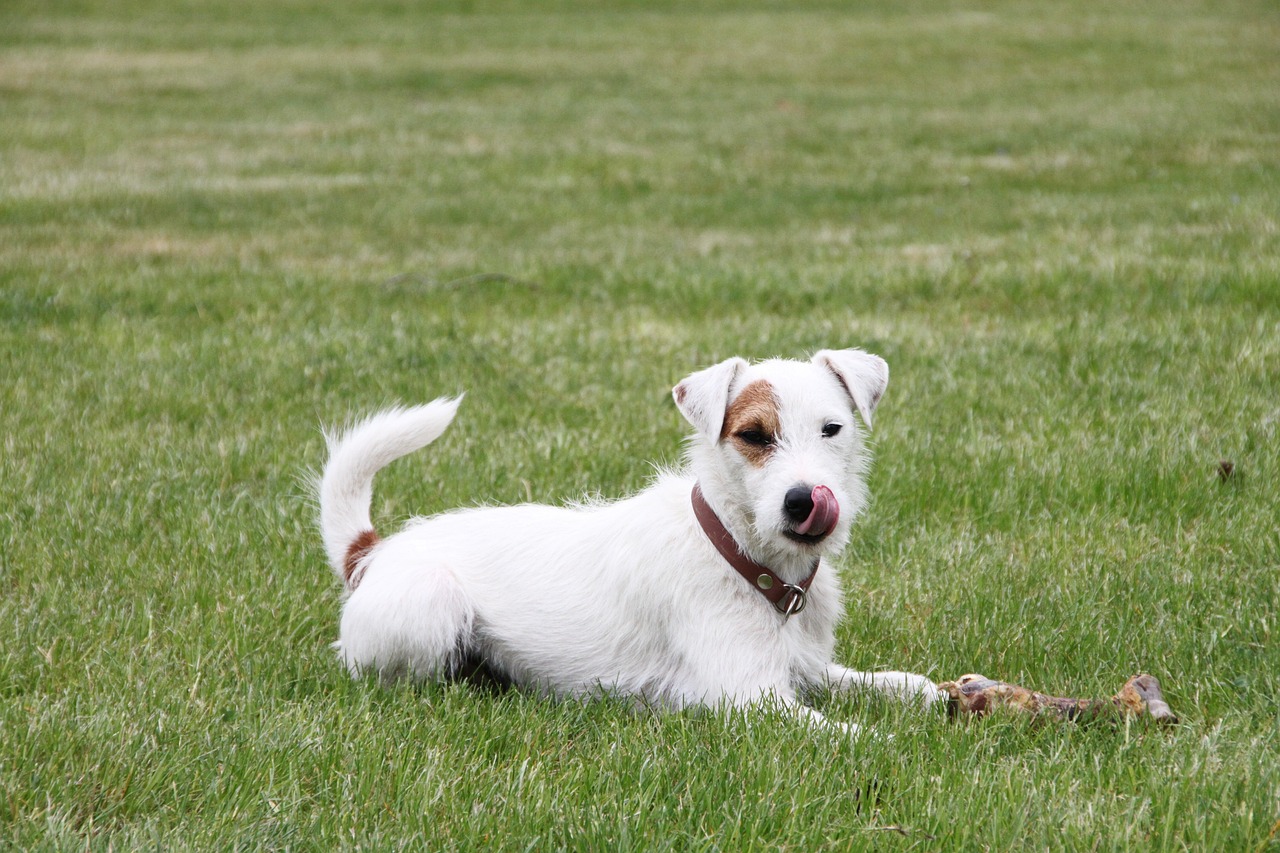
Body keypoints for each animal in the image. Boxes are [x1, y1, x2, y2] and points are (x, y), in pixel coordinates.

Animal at [320, 348, 942, 732]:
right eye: (753, 435)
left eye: (832, 429)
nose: (804, 500)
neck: (741, 555)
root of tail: (373, 552)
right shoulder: (750, 698)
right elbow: (853, 735)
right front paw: (905, 745)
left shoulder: (808, 671)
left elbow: (889, 683)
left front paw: (937, 697)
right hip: (431, 601)